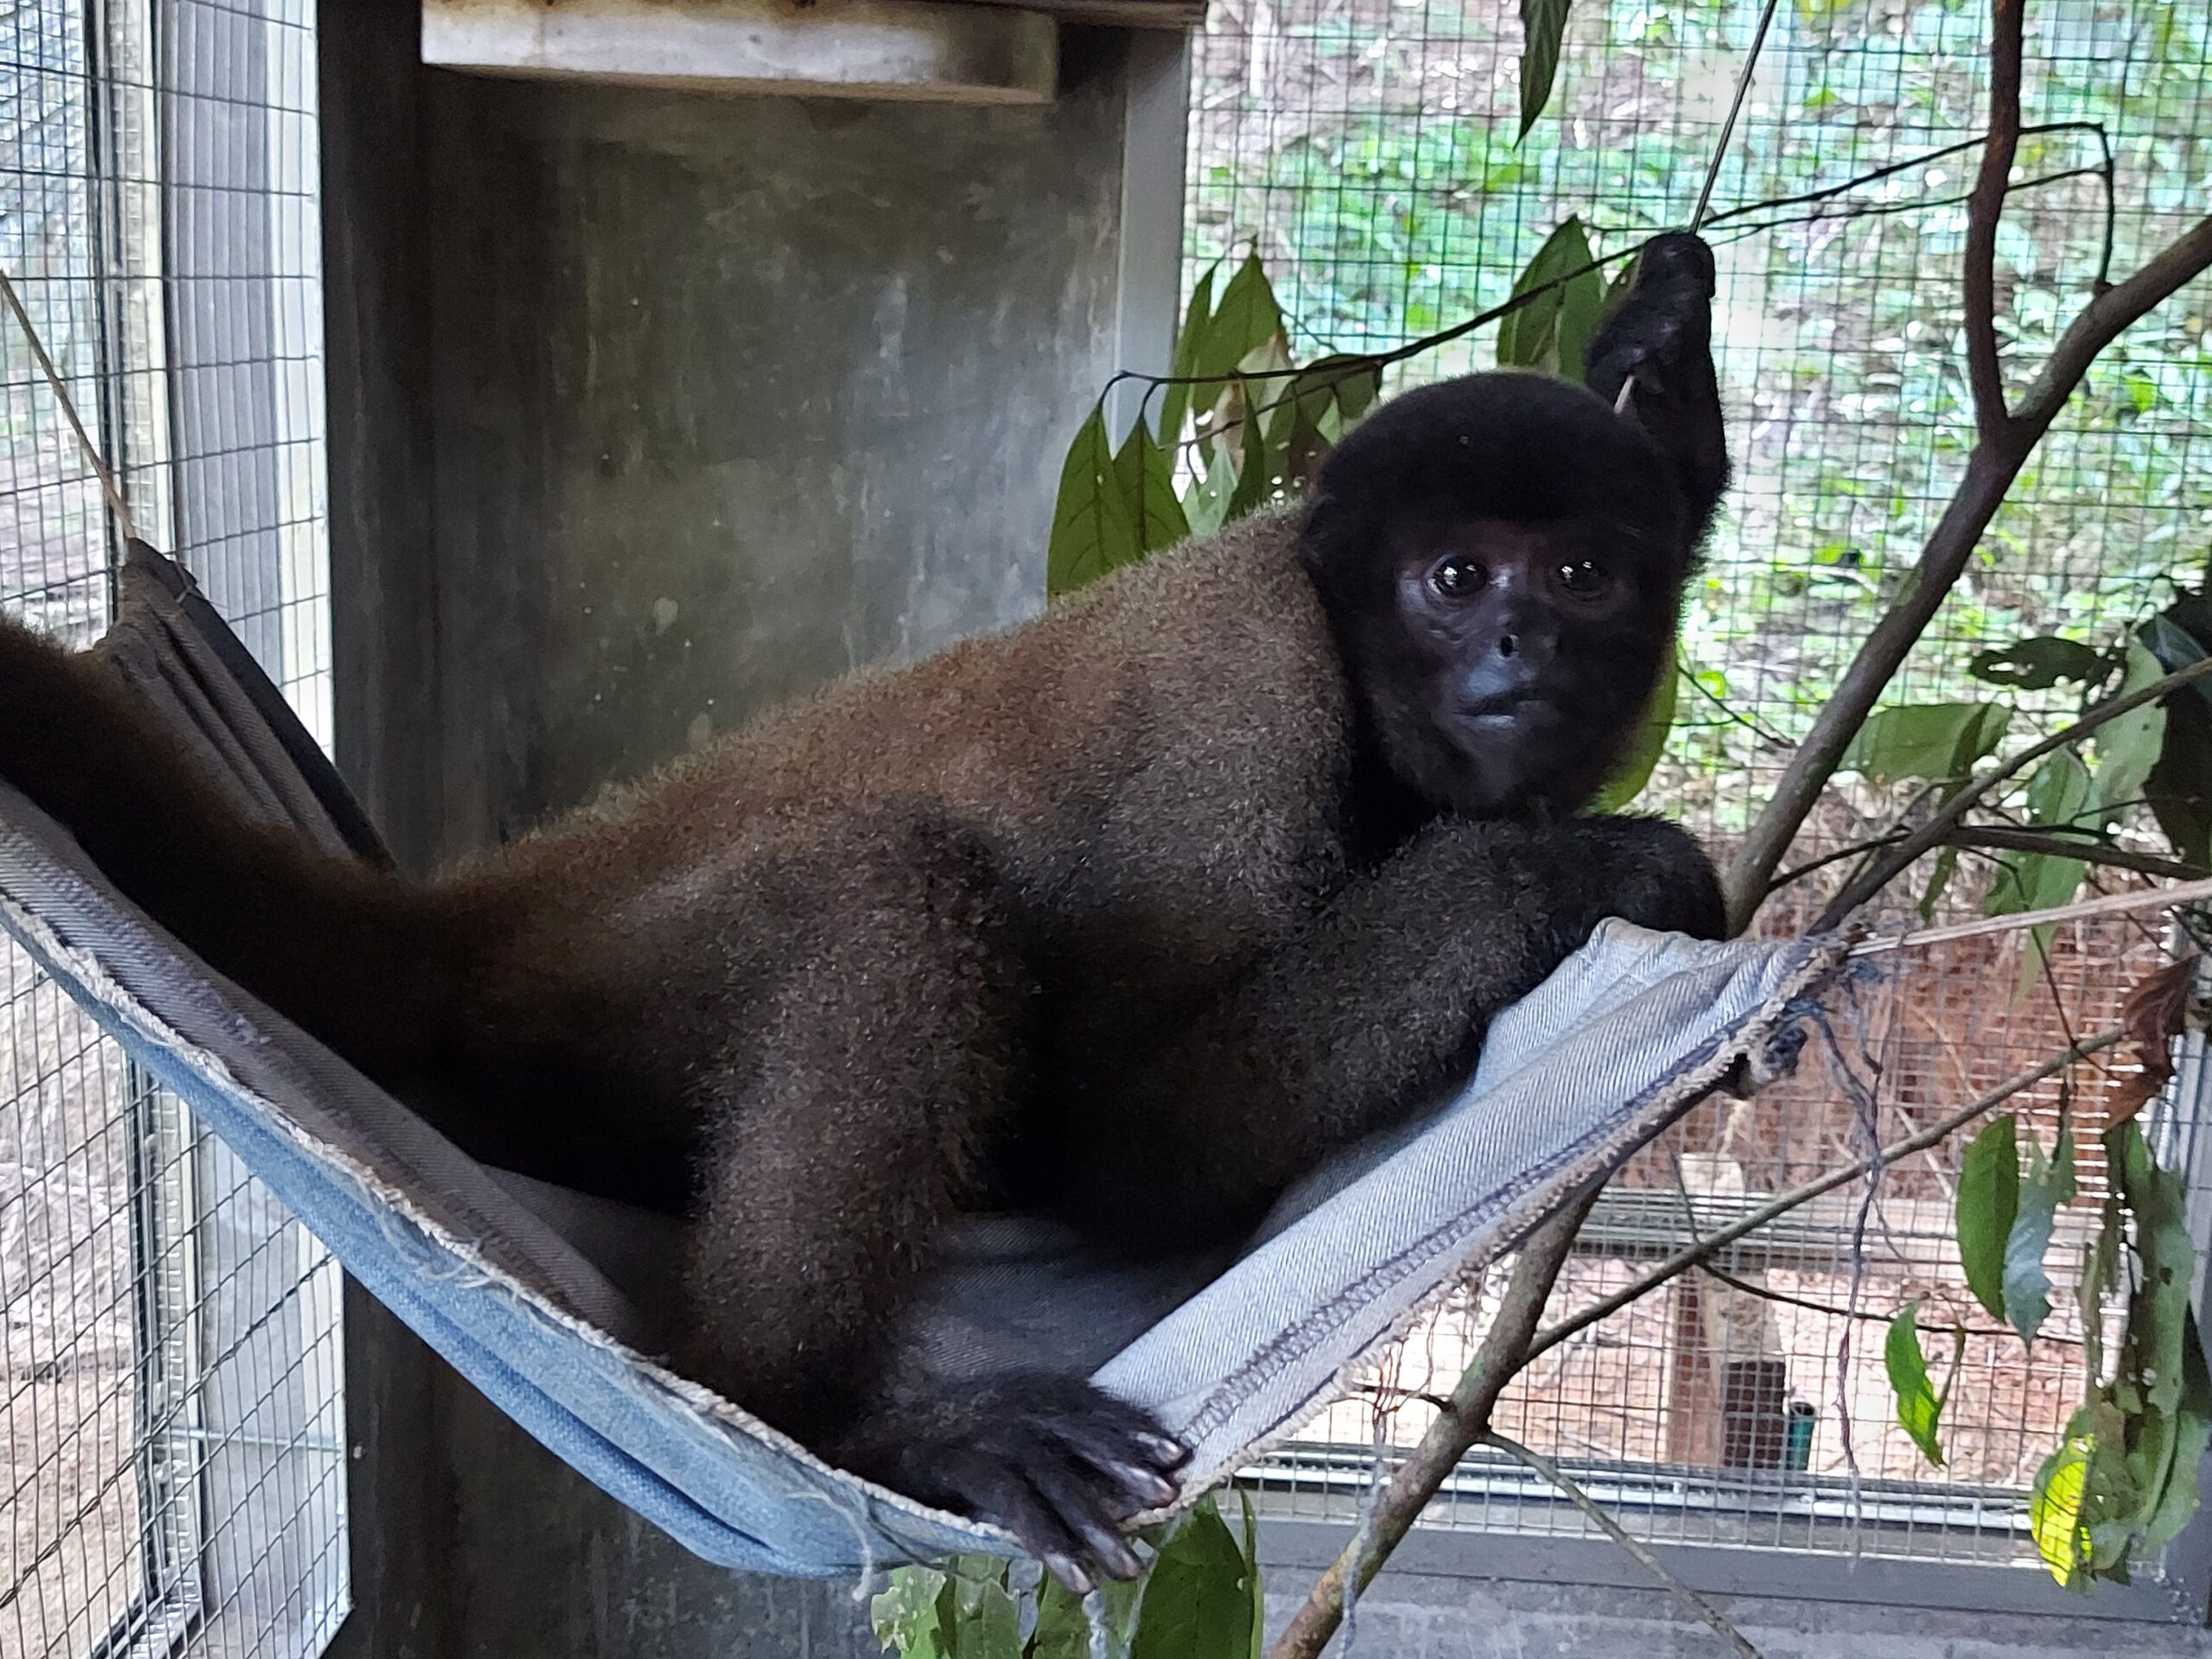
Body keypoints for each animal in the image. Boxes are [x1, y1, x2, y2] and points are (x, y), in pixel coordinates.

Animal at [0, 232, 1731, 1593]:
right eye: (1457, 579)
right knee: (895, 891)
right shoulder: (1246, 707)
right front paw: (1579, 874)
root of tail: (478, 911)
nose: (1522, 650)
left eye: (1579, 575)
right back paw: (828, 1420)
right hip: (571, 1012)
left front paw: (1661, 371)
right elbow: (1121, 1136)